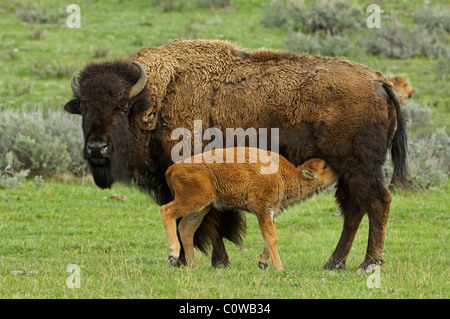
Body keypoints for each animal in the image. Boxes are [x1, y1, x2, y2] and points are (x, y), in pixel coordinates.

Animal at [159, 148, 338, 270]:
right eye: (325, 165)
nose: (338, 172)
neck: (283, 174)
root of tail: (173, 168)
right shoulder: (263, 211)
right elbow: (272, 238)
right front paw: (279, 267)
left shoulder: (269, 214)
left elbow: (268, 237)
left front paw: (262, 262)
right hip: (192, 200)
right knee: (166, 211)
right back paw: (173, 253)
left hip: (201, 208)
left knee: (186, 229)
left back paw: (193, 266)